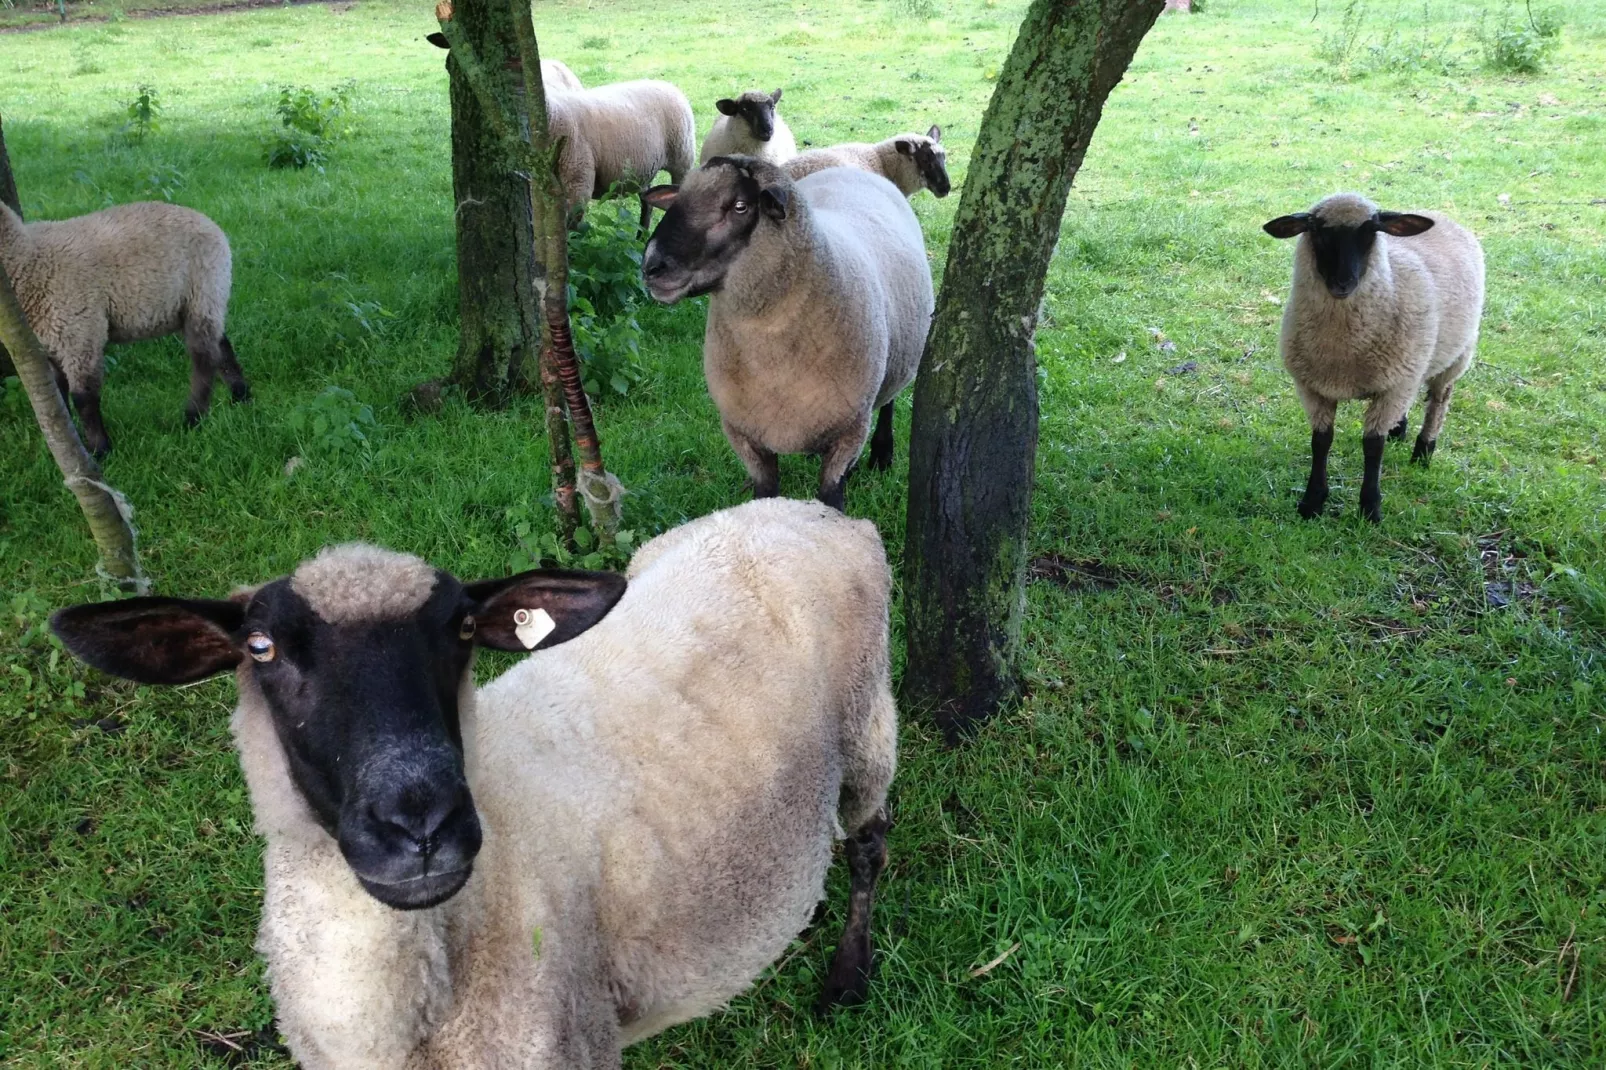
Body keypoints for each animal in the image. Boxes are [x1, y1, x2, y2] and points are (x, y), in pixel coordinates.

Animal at [0, 197, 244, 456]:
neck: (30, 258)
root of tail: (210, 223)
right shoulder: (51, 343)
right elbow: (59, 396)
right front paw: (66, 442)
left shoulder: (80, 334)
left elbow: (83, 398)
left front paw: (100, 449)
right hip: (203, 300)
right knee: (222, 347)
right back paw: (240, 396)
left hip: (204, 290)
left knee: (204, 359)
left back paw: (193, 417)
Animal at [50, 498, 899, 1066]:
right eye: (260, 647)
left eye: (462, 629)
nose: (421, 825)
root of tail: (813, 508)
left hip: (868, 728)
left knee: (869, 841)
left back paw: (848, 976)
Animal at [639, 156, 937, 510]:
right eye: (679, 199)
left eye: (740, 206)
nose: (651, 266)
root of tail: (850, 169)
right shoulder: (744, 434)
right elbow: (765, 495)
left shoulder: (850, 430)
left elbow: (831, 499)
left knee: (889, 401)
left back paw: (881, 455)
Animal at [1259, 195, 1483, 523]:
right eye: (1316, 229)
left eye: (1372, 230)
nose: (1343, 282)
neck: (1341, 351)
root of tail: (1438, 214)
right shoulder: (1314, 387)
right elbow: (1321, 441)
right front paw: (1312, 502)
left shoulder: (1393, 387)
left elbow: (1372, 446)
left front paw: (1370, 508)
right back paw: (1399, 429)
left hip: (1456, 356)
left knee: (1439, 402)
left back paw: (1423, 451)